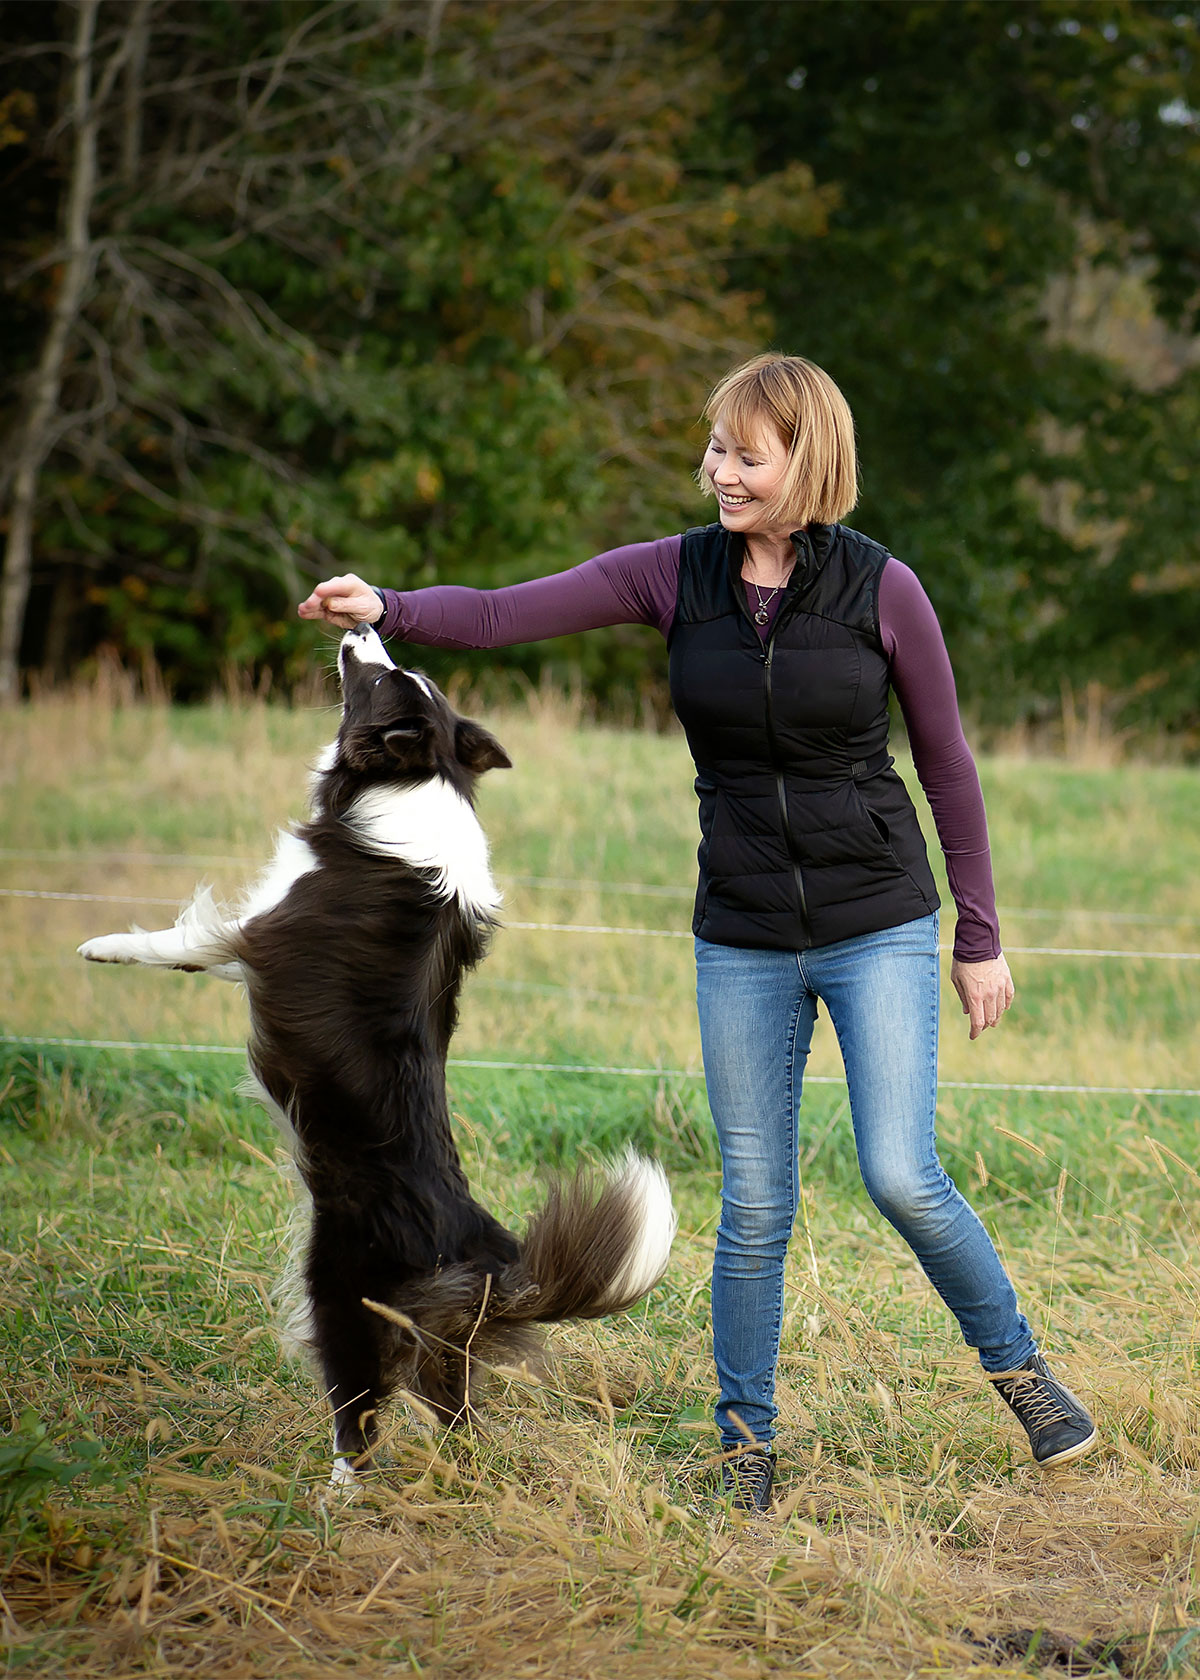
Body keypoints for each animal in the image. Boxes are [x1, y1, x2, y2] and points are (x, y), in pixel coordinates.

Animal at [77, 628, 672, 1485]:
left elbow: (176, 941)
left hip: (340, 1293)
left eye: (381, 679)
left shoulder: (255, 937)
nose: (360, 627)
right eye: (401, 670)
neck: (422, 775)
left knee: (358, 1418)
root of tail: (488, 1262)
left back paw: (331, 1497)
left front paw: (101, 946)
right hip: (438, 1347)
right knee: (454, 1415)